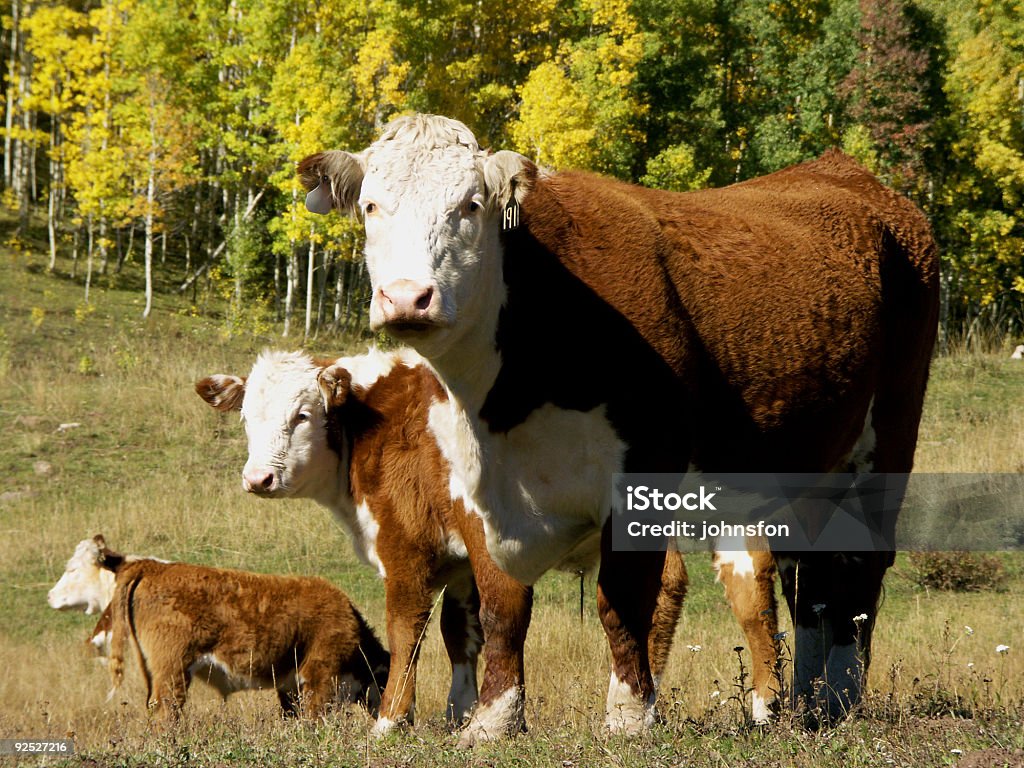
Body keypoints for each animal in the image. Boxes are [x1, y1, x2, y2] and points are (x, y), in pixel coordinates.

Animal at [193, 350, 688, 745]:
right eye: (246, 419)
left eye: (301, 415)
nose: (258, 478)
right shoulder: (459, 562)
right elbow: (459, 632)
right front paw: (458, 712)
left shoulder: (404, 549)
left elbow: (405, 631)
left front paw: (392, 721)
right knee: (658, 591)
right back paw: (644, 699)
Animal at [296, 112, 937, 729]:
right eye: (371, 207)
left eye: (470, 206)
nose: (408, 298)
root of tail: (844, 170)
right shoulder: (476, 486)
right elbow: (502, 606)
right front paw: (495, 718)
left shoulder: (644, 474)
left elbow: (623, 601)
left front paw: (628, 714)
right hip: (804, 465)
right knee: (810, 579)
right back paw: (808, 701)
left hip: (888, 439)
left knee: (860, 567)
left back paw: (842, 695)